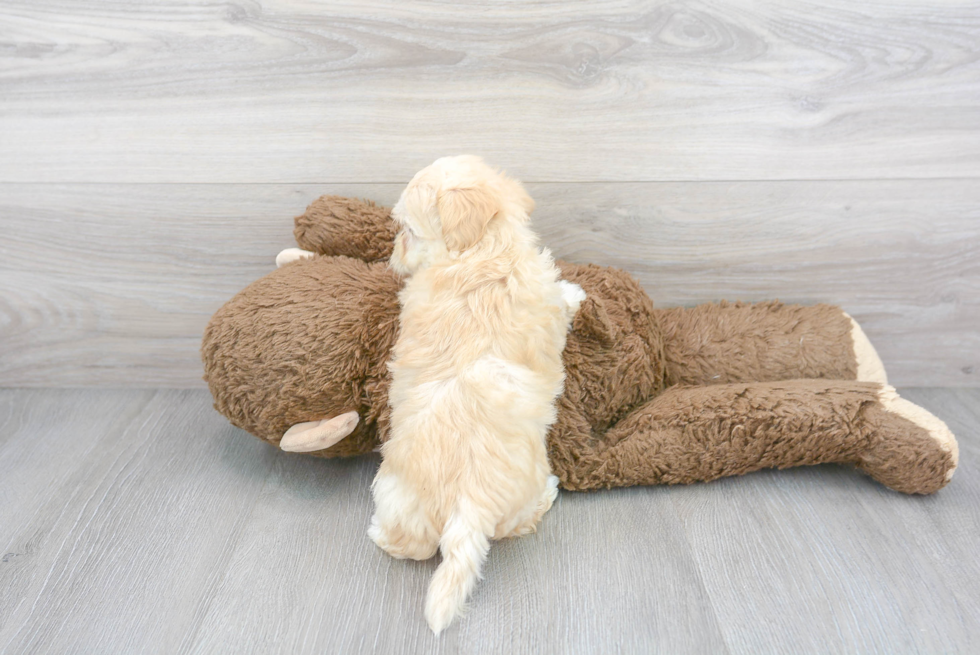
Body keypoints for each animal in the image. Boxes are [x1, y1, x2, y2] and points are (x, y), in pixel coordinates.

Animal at [368, 155, 580, 636]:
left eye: (408, 230)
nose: (392, 258)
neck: (482, 251)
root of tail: (470, 499)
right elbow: (562, 299)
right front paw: (577, 292)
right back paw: (550, 493)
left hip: (396, 496)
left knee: (413, 546)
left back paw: (379, 534)